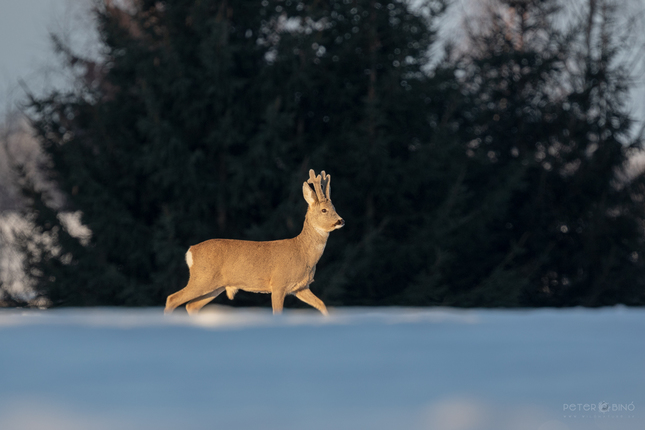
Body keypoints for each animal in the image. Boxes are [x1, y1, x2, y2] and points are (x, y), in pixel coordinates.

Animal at [166, 170, 344, 314]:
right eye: (324, 210)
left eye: (335, 208)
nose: (340, 221)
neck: (303, 253)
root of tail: (191, 251)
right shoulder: (278, 284)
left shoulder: (301, 287)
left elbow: (322, 305)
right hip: (202, 278)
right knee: (172, 299)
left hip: (214, 285)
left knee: (191, 306)